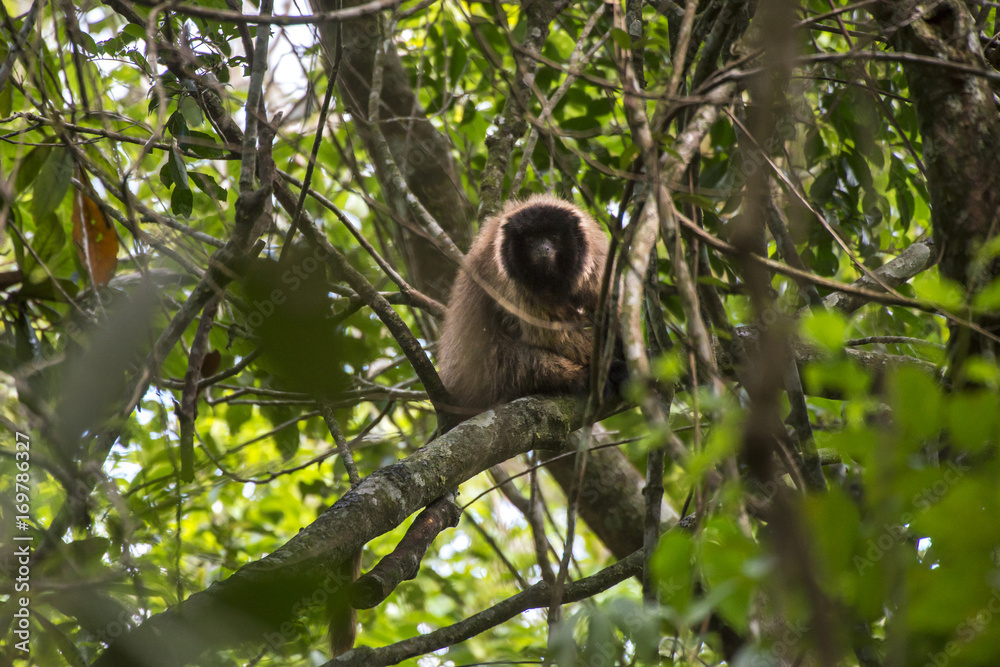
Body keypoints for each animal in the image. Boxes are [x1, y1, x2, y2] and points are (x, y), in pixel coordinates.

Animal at [438, 194, 624, 415]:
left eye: (553, 236)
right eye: (531, 239)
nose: (542, 248)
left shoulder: (595, 261)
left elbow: (608, 311)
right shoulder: (504, 273)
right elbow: (547, 333)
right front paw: (603, 365)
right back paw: (579, 377)